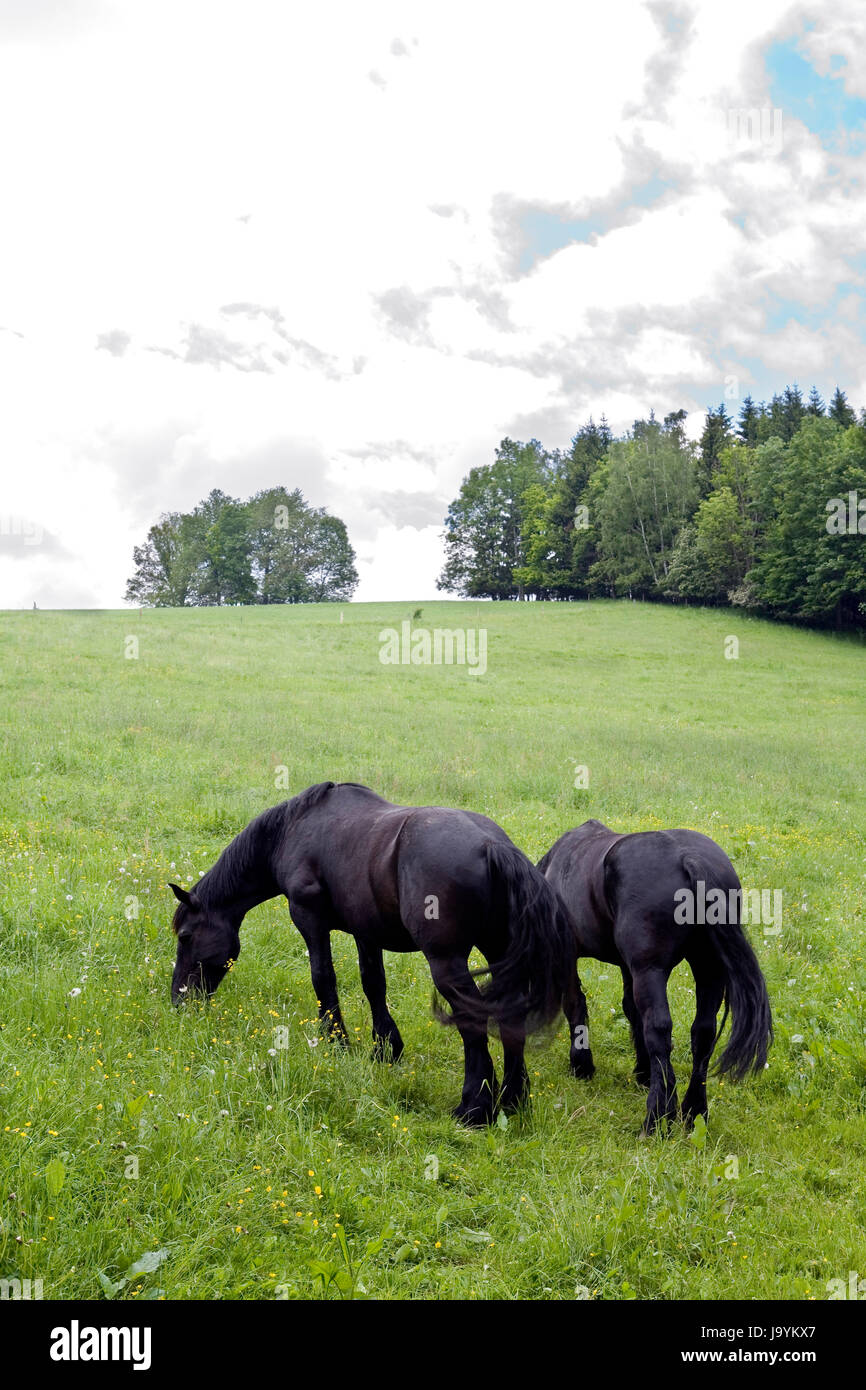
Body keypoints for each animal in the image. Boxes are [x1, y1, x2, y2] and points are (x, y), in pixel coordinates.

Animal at [169, 781, 576, 1125]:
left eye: (186, 936)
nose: (179, 1000)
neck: (293, 829)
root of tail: (492, 846)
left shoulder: (309, 918)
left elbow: (323, 977)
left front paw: (336, 1041)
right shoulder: (366, 932)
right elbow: (373, 984)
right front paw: (386, 1049)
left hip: (447, 963)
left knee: (473, 1022)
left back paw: (474, 1107)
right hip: (499, 954)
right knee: (510, 1017)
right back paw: (512, 1098)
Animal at [538, 820, 772, 1135]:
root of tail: (688, 858)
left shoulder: (575, 956)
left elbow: (576, 1004)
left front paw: (582, 1065)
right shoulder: (627, 967)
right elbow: (631, 1011)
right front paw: (643, 1072)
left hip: (651, 971)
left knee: (659, 1031)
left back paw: (656, 1117)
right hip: (708, 969)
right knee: (703, 1033)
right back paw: (694, 1111)